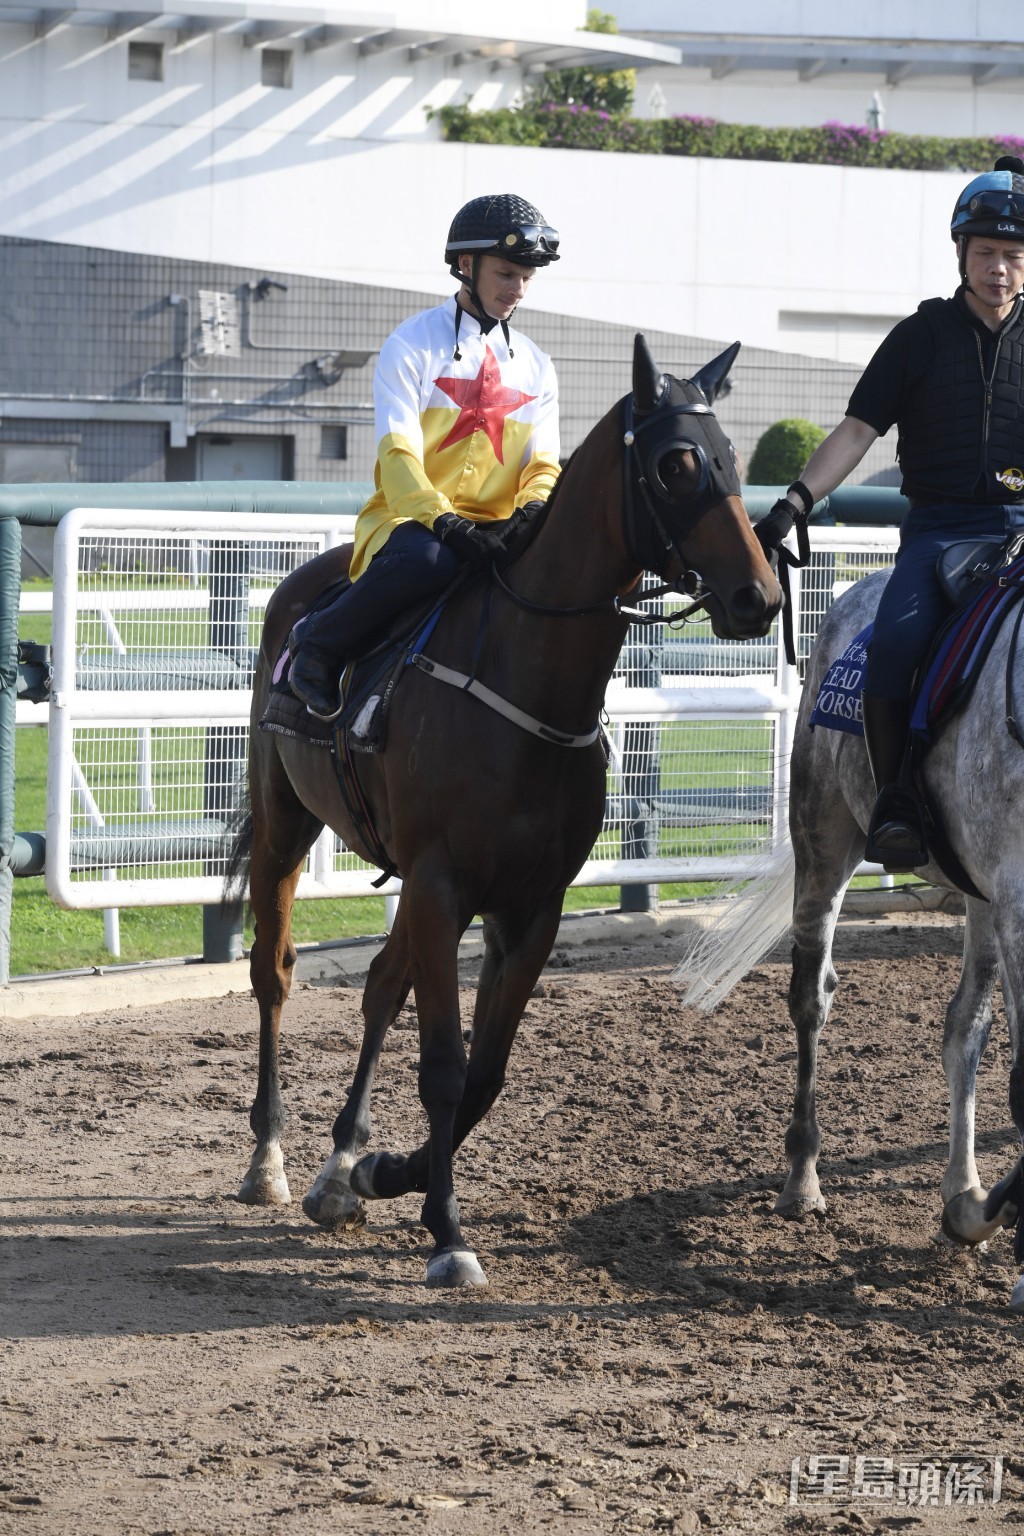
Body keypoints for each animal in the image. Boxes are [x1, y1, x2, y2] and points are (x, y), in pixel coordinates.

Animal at [228, 333, 779, 1284]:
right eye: (675, 463)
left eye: (733, 458)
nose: (759, 595)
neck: (526, 680)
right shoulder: (444, 886)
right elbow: (447, 1068)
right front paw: (447, 1233)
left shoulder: (529, 906)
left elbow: (485, 1072)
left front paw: (386, 1173)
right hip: (285, 828)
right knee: (274, 972)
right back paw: (270, 1159)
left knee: (381, 988)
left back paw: (341, 1166)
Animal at [675, 571, 1024, 1314]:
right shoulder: (1016, 902)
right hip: (825, 838)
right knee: (812, 998)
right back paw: (802, 1180)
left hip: (977, 895)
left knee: (964, 1029)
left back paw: (964, 1194)